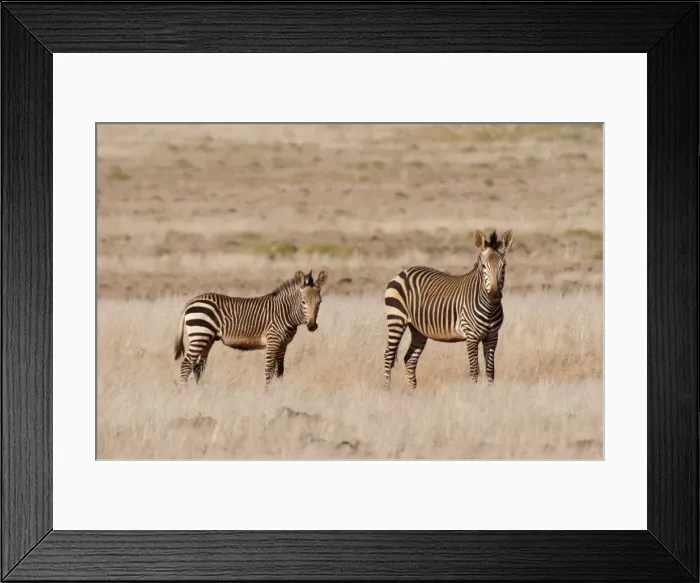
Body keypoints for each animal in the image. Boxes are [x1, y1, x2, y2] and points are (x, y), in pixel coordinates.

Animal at [174, 269, 328, 388]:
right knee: (186, 364)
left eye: (319, 302)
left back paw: (200, 392)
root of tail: (191, 301)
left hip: (207, 338)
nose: (312, 326)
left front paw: (279, 392)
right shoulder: (273, 341)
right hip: (200, 334)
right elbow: (269, 369)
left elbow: (280, 371)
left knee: (198, 367)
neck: (285, 312)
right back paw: (185, 392)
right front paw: (267, 394)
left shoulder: (283, 345)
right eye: (303, 302)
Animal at [383, 228, 513, 390]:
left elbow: (490, 370)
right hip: (396, 319)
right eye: (483, 266)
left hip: (418, 329)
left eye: (504, 266)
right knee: (388, 356)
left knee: (410, 359)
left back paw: (412, 391)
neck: (489, 308)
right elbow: (474, 369)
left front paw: (490, 391)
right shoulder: (471, 337)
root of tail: (403, 272)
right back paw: (387, 390)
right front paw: (475, 392)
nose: (494, 295)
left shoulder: (492, 336)